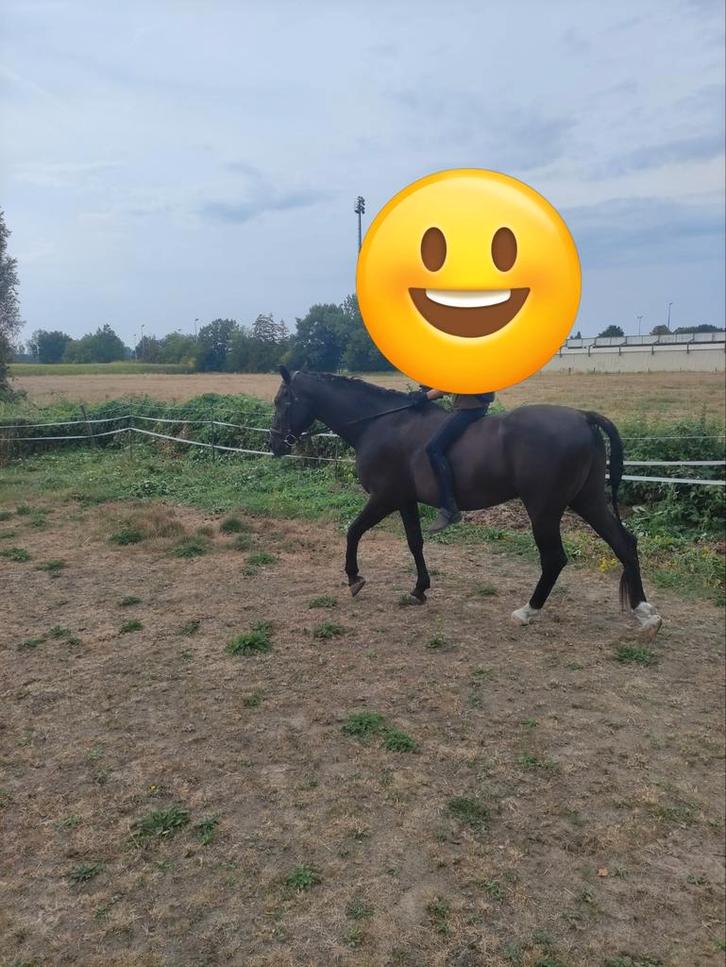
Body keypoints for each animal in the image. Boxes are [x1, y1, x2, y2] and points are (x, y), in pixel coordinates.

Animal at [269, 367, 662, 635]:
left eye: (280, 401)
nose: (275, 445)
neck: (381, 425)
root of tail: (582, 416)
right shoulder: (405, 499)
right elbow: (415, 542)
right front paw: (419, 589)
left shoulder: (385, 497)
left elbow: (353, 531)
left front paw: (354, 577)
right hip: (587, 500)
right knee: (624, 543)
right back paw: (646, 613)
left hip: (544, 508)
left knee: (554, 559)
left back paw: (528, 611)